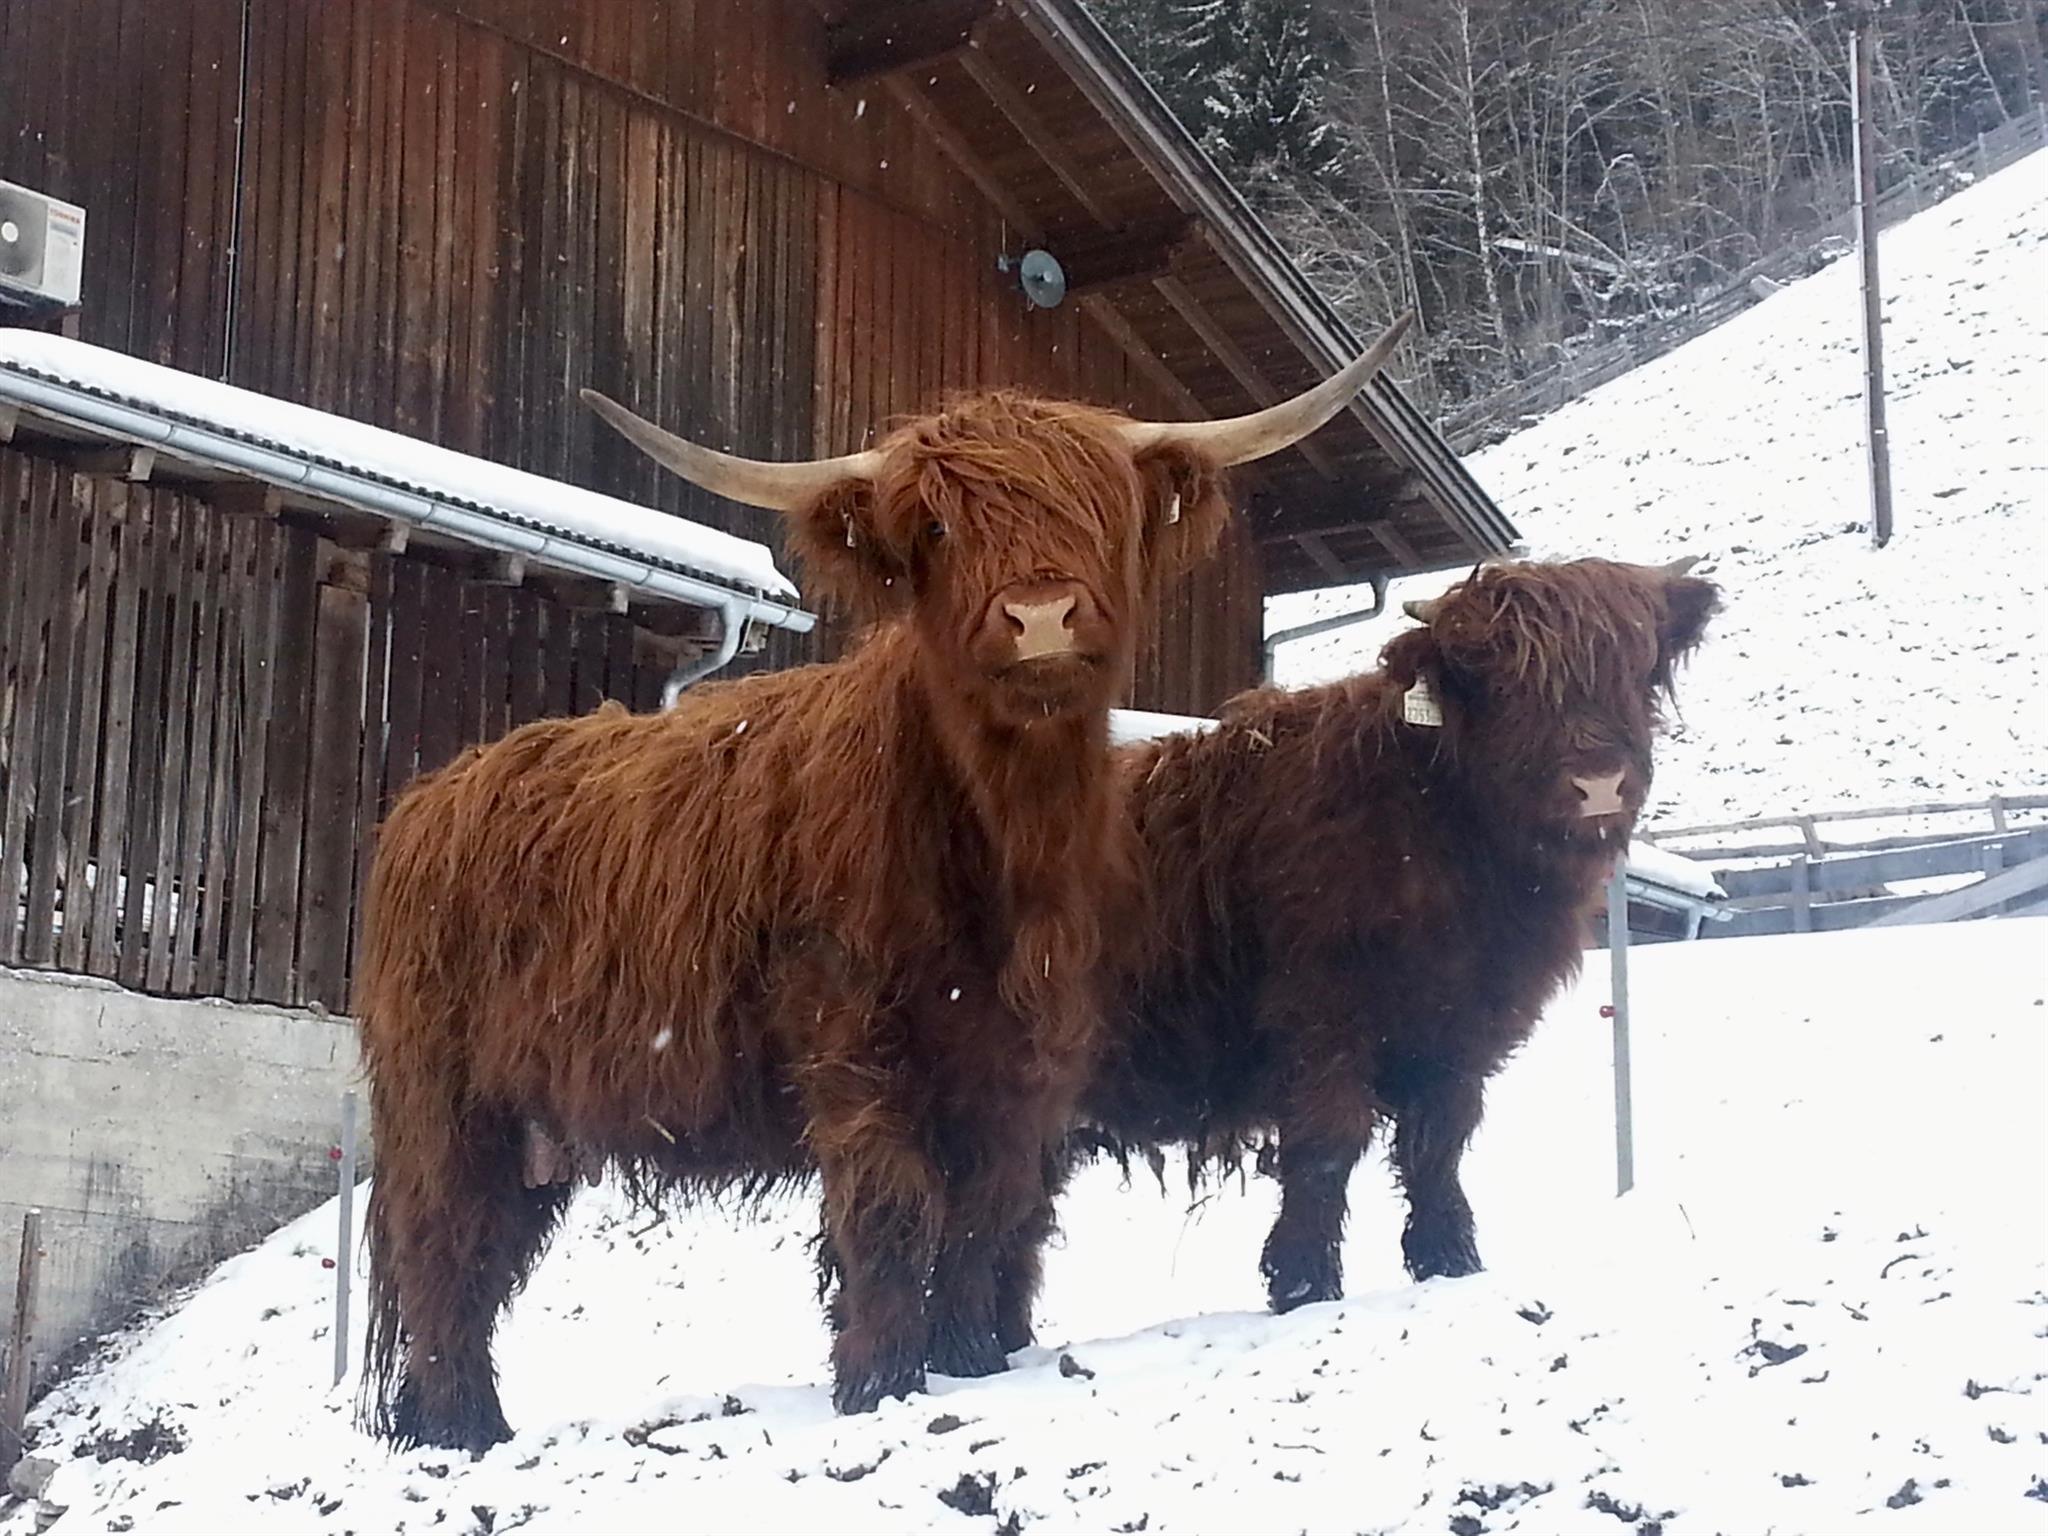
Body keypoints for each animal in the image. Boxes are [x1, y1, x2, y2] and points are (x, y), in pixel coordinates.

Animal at [353, 316, 1415, 1453]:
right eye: (938, 528)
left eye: (1101, 507)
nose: (1041, 614)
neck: (1003, 847)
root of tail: (429, 794)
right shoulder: (850, 1037)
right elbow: (891, 1207)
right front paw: (881, 1382)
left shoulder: (1023, 1065)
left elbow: (989, 1217)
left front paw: (969, 1361)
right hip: (445, 1099)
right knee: (447, 1248)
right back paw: (462, 1428)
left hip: (532, 1127)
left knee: (482, 1248)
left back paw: (453, 1423)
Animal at [964, 556, 1719, 1342]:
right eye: (1498, 676)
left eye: (1635, 666)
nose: (1597, 783)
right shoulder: (1323, 1015)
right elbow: (1328, 1143)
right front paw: (1304, 1283)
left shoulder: (1465, 1032)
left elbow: (1438, 1144)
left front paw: (1451, 1261)